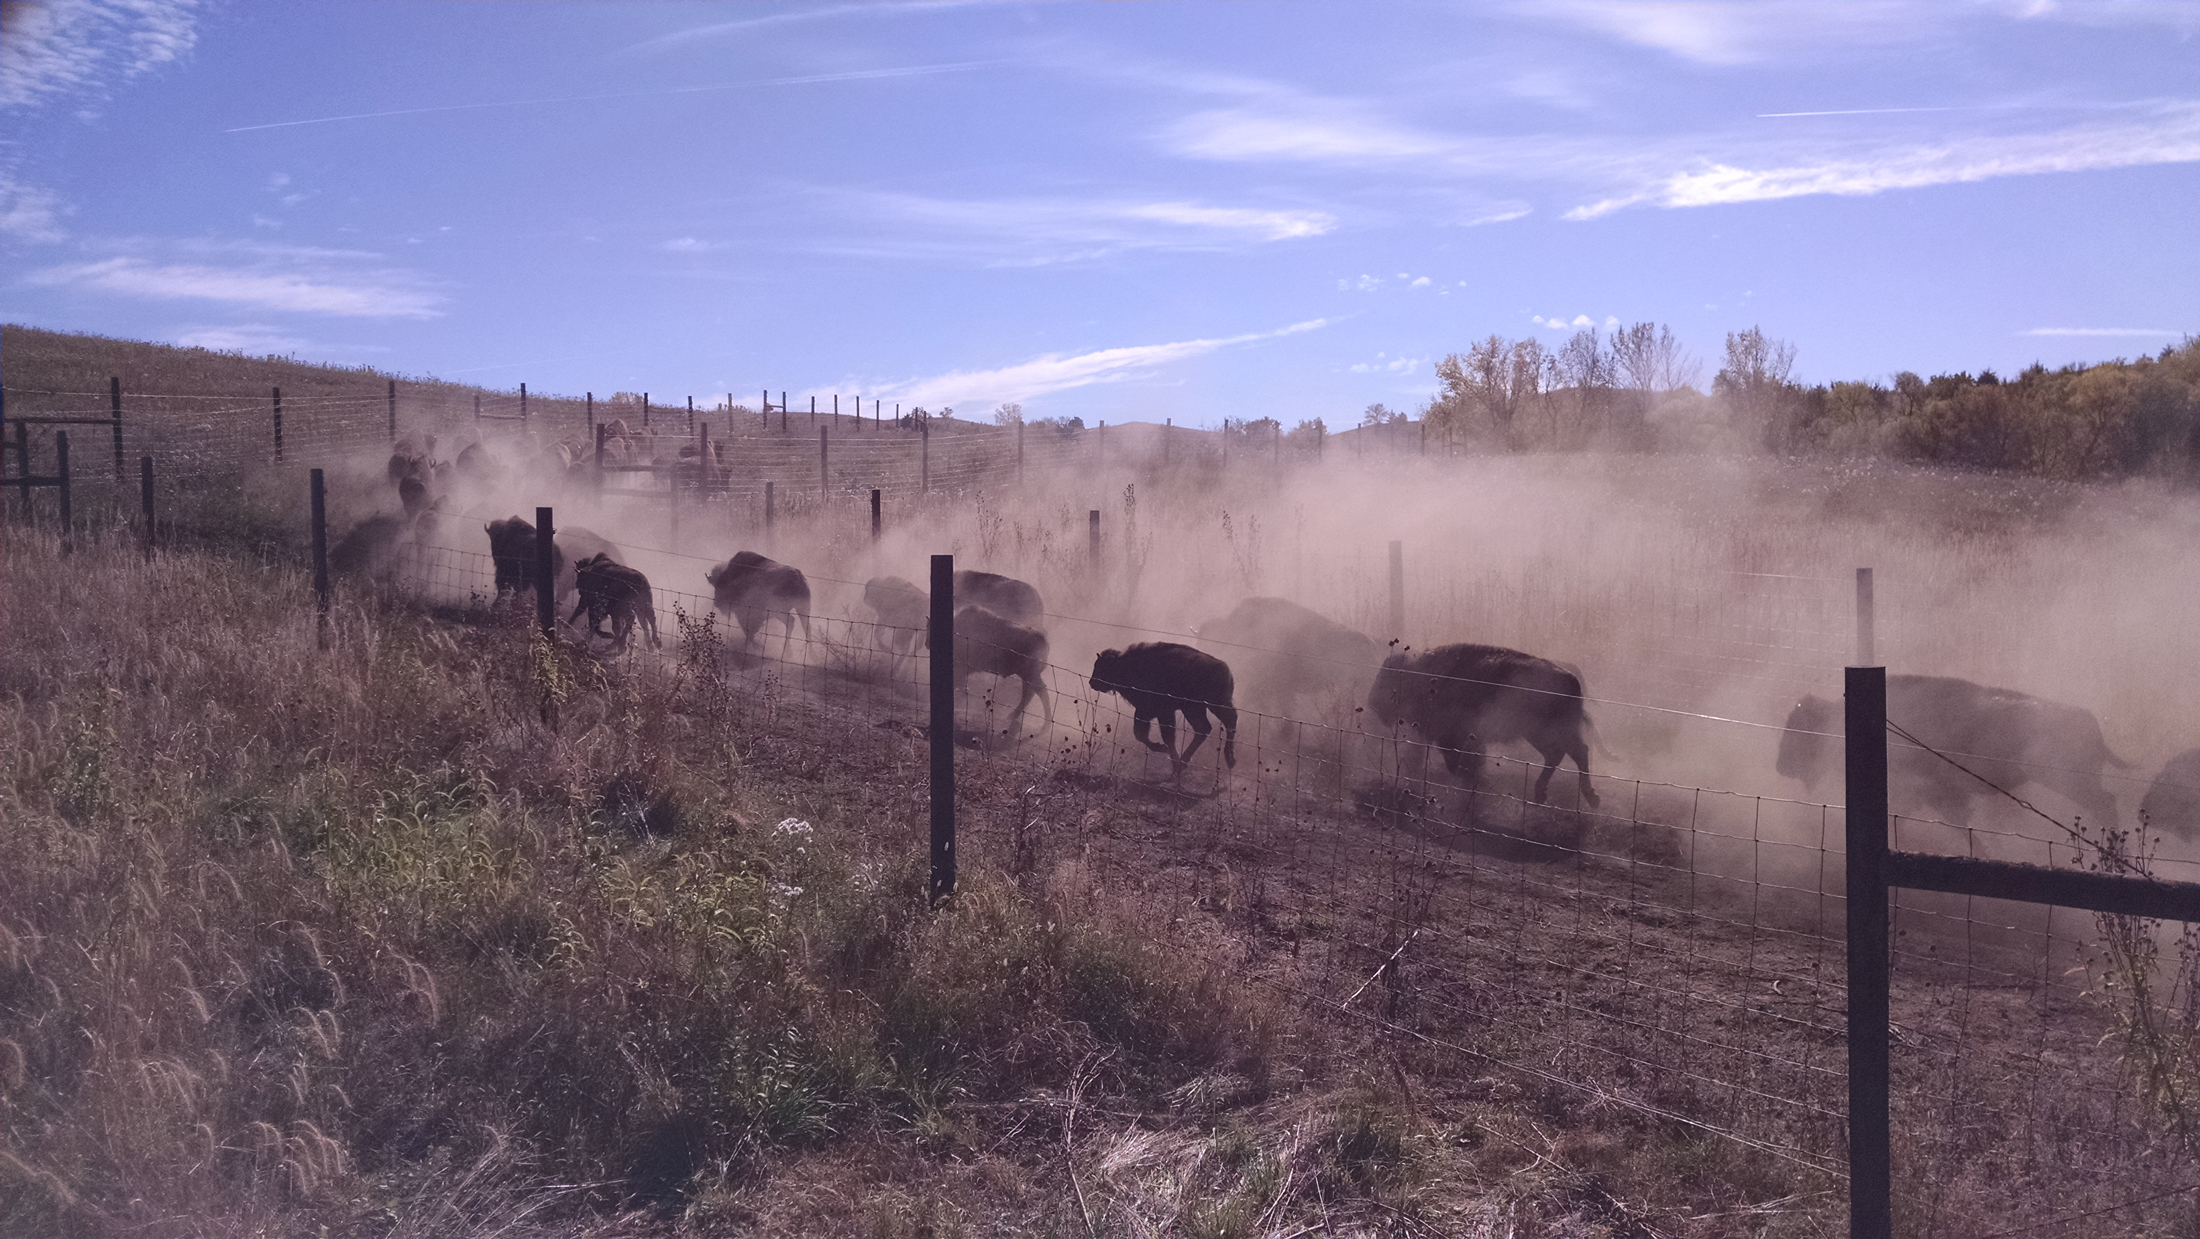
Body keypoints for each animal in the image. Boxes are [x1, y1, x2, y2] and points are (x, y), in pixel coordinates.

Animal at [941, 607, 1051, 743]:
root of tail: (1044, 640)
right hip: (1027, 676)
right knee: (1030, 692)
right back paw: (1014, 717)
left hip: (1030, 675)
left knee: (1039, 691)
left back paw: (1045, 726)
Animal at [1086, 638, 1240, 783]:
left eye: (1103, 667)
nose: (1092, 683)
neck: (1126, 664)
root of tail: (1227, 670)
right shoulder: (1147, 712)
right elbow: (1142, 735)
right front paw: (1173, 762)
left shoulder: (1159, 712)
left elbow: (1162, 737)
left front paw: (1167, 753)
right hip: (1199, 708)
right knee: (1209, 727)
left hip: (1208, 706)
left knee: (1223, 723)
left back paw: (1226, 759)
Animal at [1355, 647, 1601, 809]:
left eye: (1388, 678)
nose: (1372, 701)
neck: (1422, 675)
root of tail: (1572, 679)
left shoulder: (1453, 738)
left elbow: (1460, 763)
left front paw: (1476, 781)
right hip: (1540, 734)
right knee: (1566, 753)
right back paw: (1549, 795)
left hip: (1544, 732)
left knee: (1574, 752)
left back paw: (1584, 797)